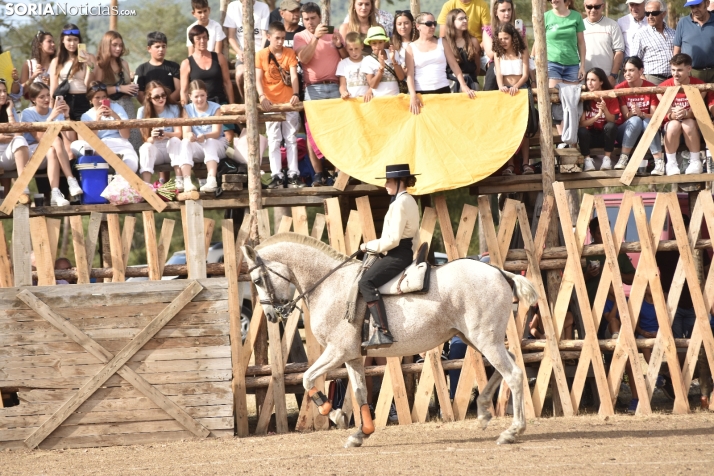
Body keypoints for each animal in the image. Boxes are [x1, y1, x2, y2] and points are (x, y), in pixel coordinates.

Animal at [242, 232, 536, 448]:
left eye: (257, 280)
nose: (271, 314)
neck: (329, 285)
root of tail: (501, 273)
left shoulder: (336, 351)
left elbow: (307, 378)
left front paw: (333, 412)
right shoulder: (352, 357)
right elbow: (359, 392)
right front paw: (361, 433)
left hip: (485, 340)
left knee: (513, 373)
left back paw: (512, 431)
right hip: (478, 339)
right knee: (509, 365)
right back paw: (485, 411)